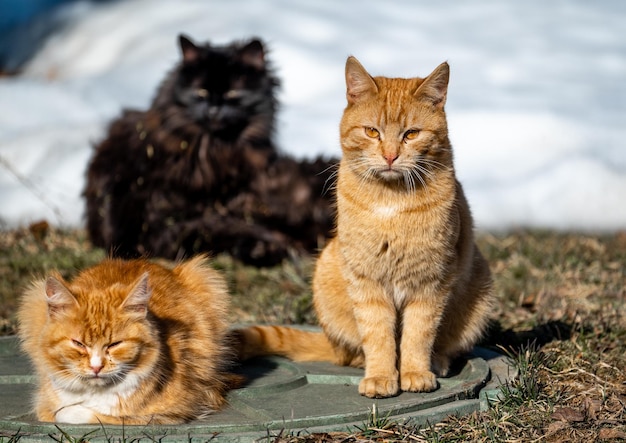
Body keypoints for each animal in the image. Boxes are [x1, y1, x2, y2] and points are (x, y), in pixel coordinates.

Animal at [18, 256, 239, 426]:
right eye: (78, 344)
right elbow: (55, 411)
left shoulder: (172, 412)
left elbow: (75, 413)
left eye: (114, 344)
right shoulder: (44, 403)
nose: (96, 367)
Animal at [234, 55, 492, 398]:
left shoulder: (430, 283)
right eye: (372, 131)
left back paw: (436, 362)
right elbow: (378, 335)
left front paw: (414, 372)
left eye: (411, 134)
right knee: (349, 354)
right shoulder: (366, 282)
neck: (390, 199)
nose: (390, 156)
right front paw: (382, 376)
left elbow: (418, 334)